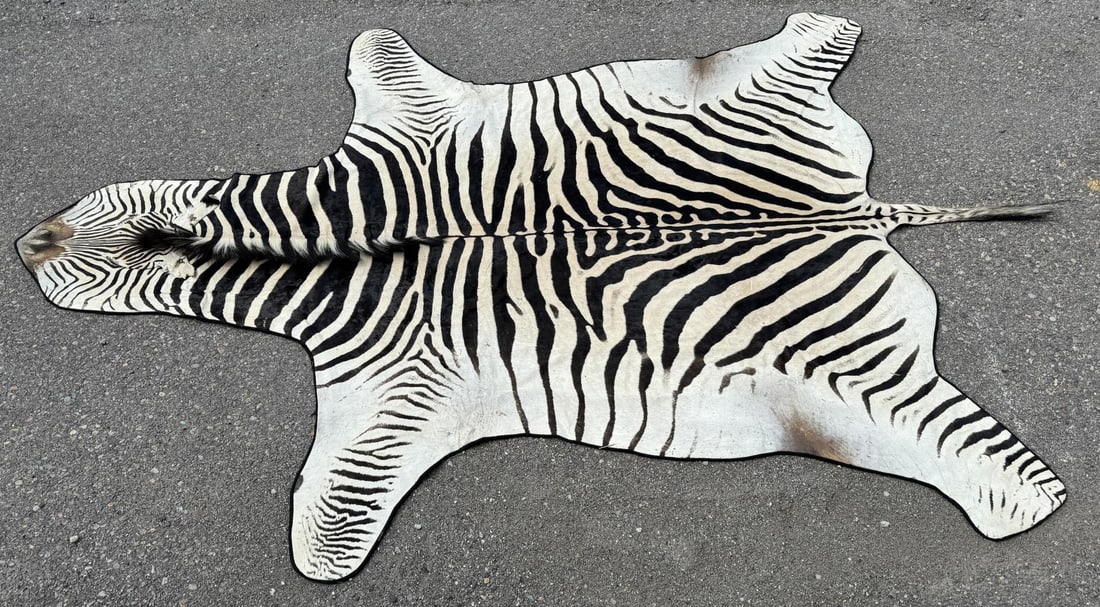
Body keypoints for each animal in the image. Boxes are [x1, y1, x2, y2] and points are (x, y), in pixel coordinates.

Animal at [16, 13, 1064, 582]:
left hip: (858, 383)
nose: (27, 244)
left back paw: (1025, 502)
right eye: (81, 219)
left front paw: (322, 556)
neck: (303, 248)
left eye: (82, 255)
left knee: (994, 466)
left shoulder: (395, 390)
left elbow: (333, 507)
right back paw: (825, 30)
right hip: (757, 121)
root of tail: (850, 209)